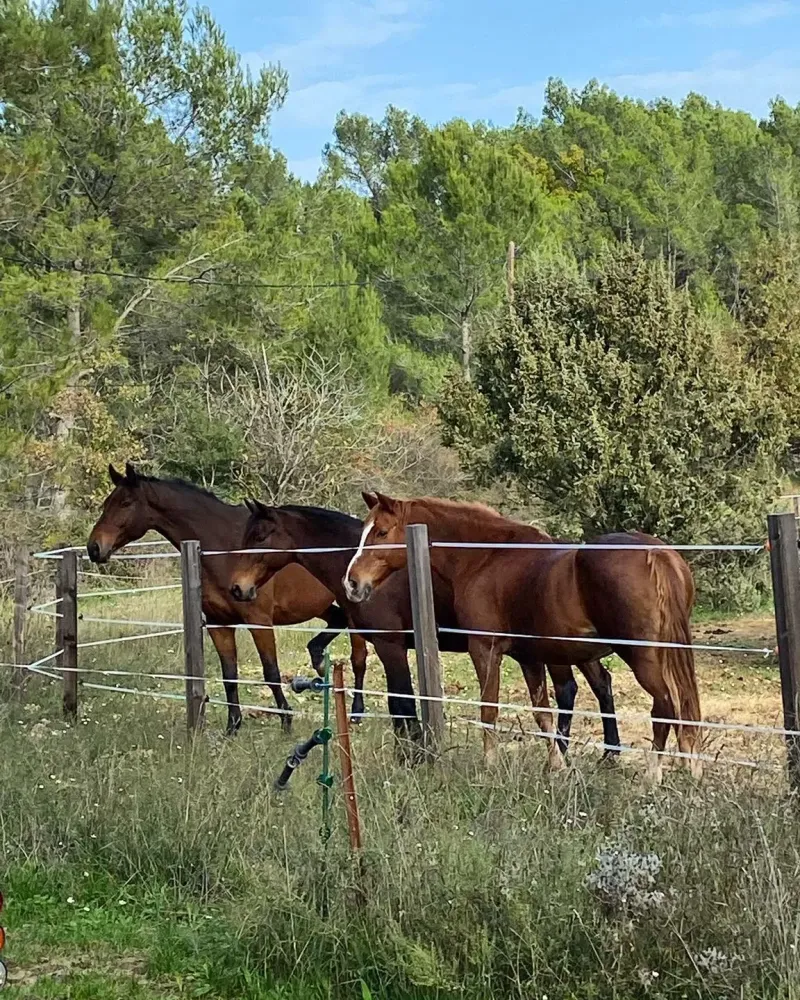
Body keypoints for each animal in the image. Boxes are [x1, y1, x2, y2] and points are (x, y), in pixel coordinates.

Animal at [86, 463, 368, 733]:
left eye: (126, 503)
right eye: (106, 504)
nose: (94, 548)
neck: (223, 548)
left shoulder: (259, 621)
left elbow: (271, 672)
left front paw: (286, 721)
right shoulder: (218, 624)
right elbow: (229, 676)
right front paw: (233, 726)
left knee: (359, 657)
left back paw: (356, 712)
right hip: (319, 607)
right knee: (337, 623)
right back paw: (319, 660)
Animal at [227, 499, 622, 763]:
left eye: (260, 536)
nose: (237, 588)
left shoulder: (390, 645)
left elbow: (401, 703)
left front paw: (414, 755)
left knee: (569, 690)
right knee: (600, 684)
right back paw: (608, 753)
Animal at [343, 493, 702, 781]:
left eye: (381, 531)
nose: (352, 582)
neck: (485, 557)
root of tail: (655, 553)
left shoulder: (485, 649)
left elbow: (489, 710)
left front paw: (489, 766)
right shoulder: (530, 658)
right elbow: (542, 714)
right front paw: (556, 767)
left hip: (642, 655)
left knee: (665, 706)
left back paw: (652, 777)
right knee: (682, 707)